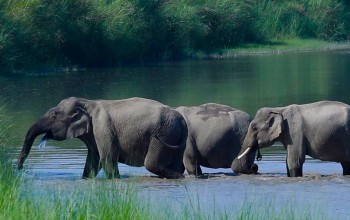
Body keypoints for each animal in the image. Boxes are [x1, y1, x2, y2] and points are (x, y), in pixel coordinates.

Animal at [16, 97, 187, 179]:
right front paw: (86, 179)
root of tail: (182, 119)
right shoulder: (93, 134)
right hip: (174, 136)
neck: (87, 103)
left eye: (53, 116)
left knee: (151, 164)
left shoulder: (103, 127)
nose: (20, 169)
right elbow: (93, 161)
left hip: (164, 133)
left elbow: (107, 159)